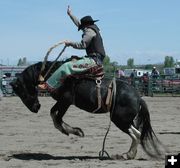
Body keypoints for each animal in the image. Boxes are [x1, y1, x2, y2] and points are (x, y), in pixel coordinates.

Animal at [9, 59, 165, 160]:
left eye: (21, 91)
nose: (35, 108)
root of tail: (138, 97)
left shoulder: (66, 101)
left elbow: (56, 116)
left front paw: (74, 131)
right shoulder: (63, 102)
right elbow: (54, 115)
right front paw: (73, 131)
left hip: (119, 120)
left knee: (137, 134)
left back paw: (127, 155)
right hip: (125, 120)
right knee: (137, 134)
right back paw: (129, 154)